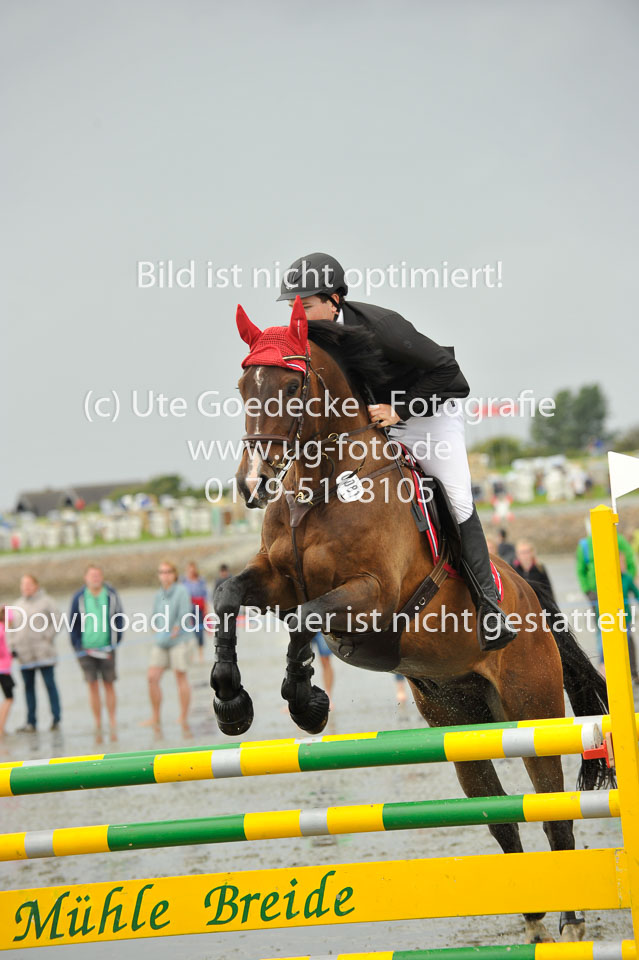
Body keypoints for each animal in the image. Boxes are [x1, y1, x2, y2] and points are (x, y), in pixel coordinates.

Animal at [210, 298, 610, 945]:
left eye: (292, 386)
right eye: (244, 387)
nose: (253, 483)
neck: (323, 485)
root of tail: (530, 595)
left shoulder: (371, 598)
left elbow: (308, 618)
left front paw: (306, 703)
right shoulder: (273, 580)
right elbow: (226, 595)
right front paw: (230, 703)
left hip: (534, 711)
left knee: (554, 814)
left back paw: (571, 922)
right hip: (457, 722)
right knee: (501, 819)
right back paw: (534, 921)